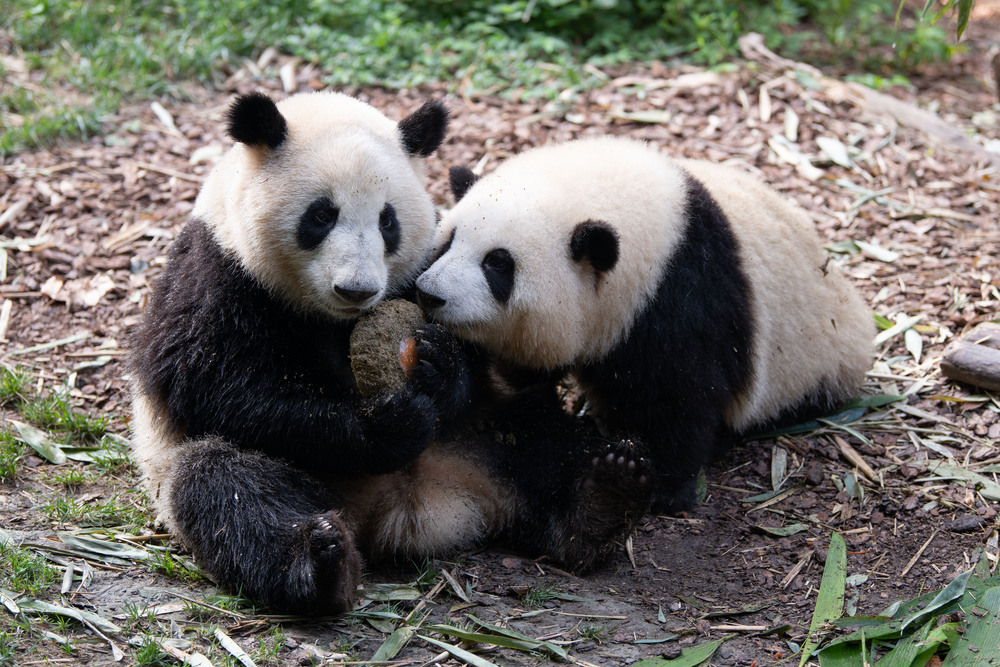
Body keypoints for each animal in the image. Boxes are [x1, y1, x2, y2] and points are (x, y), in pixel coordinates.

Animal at [129, 92, 652, 616]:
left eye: (388, 220)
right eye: (321, 216)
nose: (357, 289)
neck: (330, 314)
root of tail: (422, 506)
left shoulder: (429, 263)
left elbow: (476, 349)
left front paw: (439, 369)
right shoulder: (217, 269)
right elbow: (214, 382)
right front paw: (387, 428)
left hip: (483, 430)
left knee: (545, 444)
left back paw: (603, 497)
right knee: (228, 489)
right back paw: (318, 562)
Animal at [414, 134, 876, 512]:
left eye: (497, 264)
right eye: (449, 241)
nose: (430, 294)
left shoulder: (682, 298)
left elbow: (683, 392)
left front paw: (656, 484)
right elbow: (519, 384)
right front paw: (440, 366)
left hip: (811, 359)